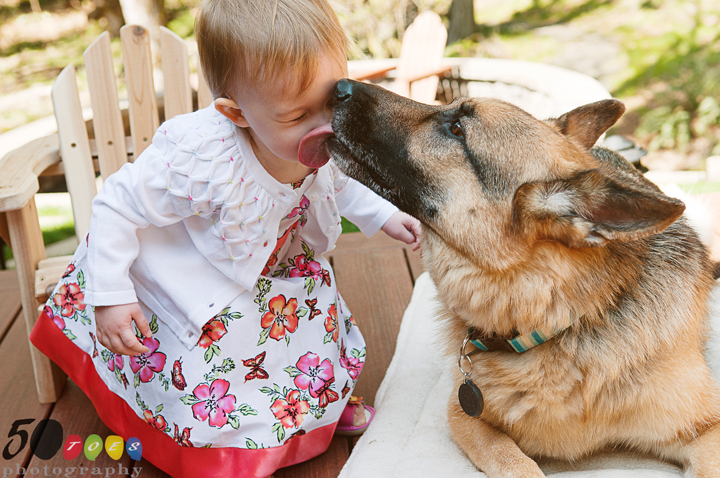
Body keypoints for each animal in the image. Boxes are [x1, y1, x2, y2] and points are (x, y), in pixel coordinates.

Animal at [326, 79, 720, 478]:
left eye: (457, 130)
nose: (339, 86)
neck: (560, 323)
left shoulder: (708, 429)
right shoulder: (464, 417)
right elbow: (516, 464)